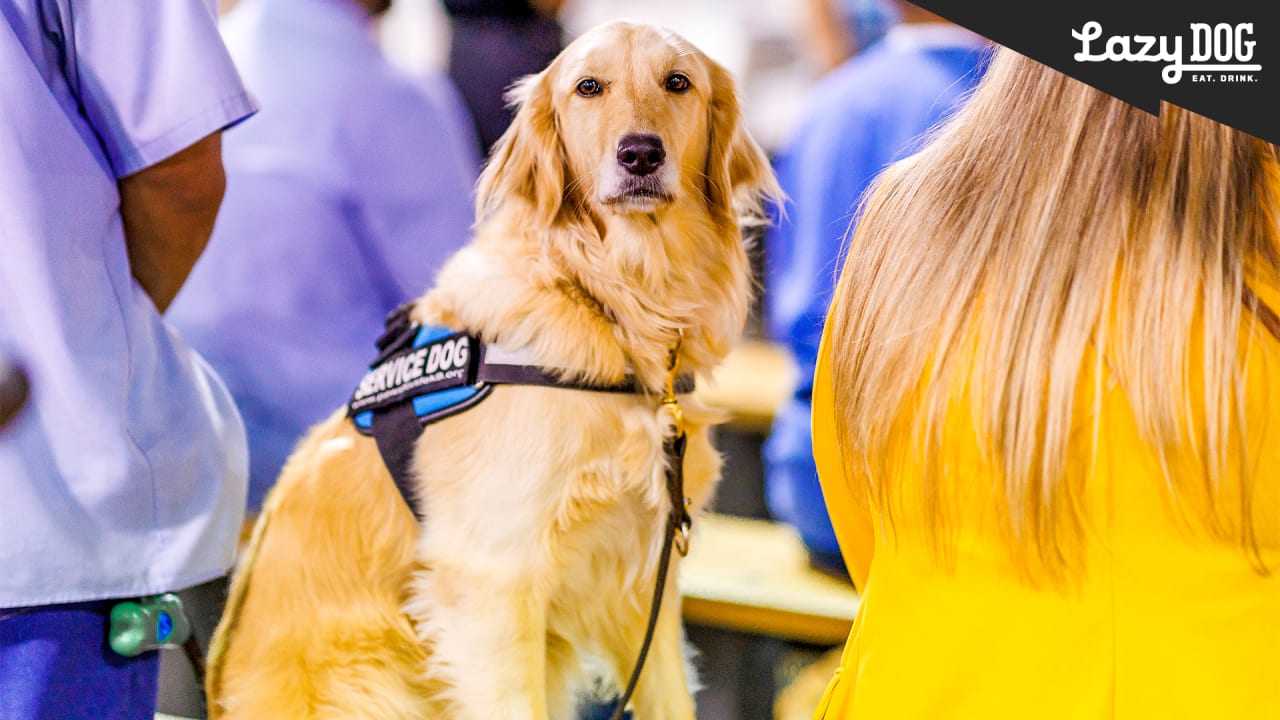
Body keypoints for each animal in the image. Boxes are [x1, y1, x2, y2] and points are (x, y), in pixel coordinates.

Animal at [207, 18, 778, 717]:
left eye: (678, 83)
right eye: (589, 87)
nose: (640, 154)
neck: (608, 302)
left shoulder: (646, 583)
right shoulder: (493, 582)